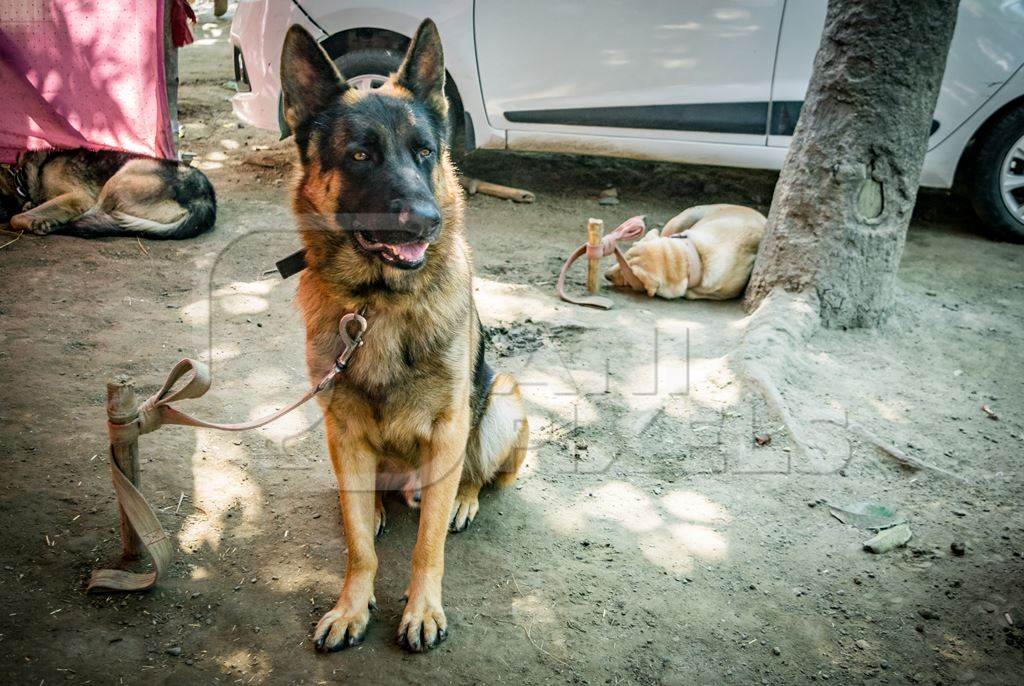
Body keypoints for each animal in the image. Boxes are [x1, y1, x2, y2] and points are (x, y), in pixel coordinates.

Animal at [0, 148, 216, 239]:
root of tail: (205, 198)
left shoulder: (79, 196)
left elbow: (15, 217)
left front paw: (36, 220)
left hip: (119, 178)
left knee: (94, 214)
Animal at [282, 18, 528, 651]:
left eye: (425, 153)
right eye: (360, 155)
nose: (426, 221)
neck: (380, 305)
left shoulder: (447, 428)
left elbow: (427, 545)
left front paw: (422, 609)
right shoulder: (341, 428)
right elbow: (358, 549)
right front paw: (351, 605)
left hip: (504, 401)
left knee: (473, 476)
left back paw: (463, 500)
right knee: (366, 503)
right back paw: (374, 508)